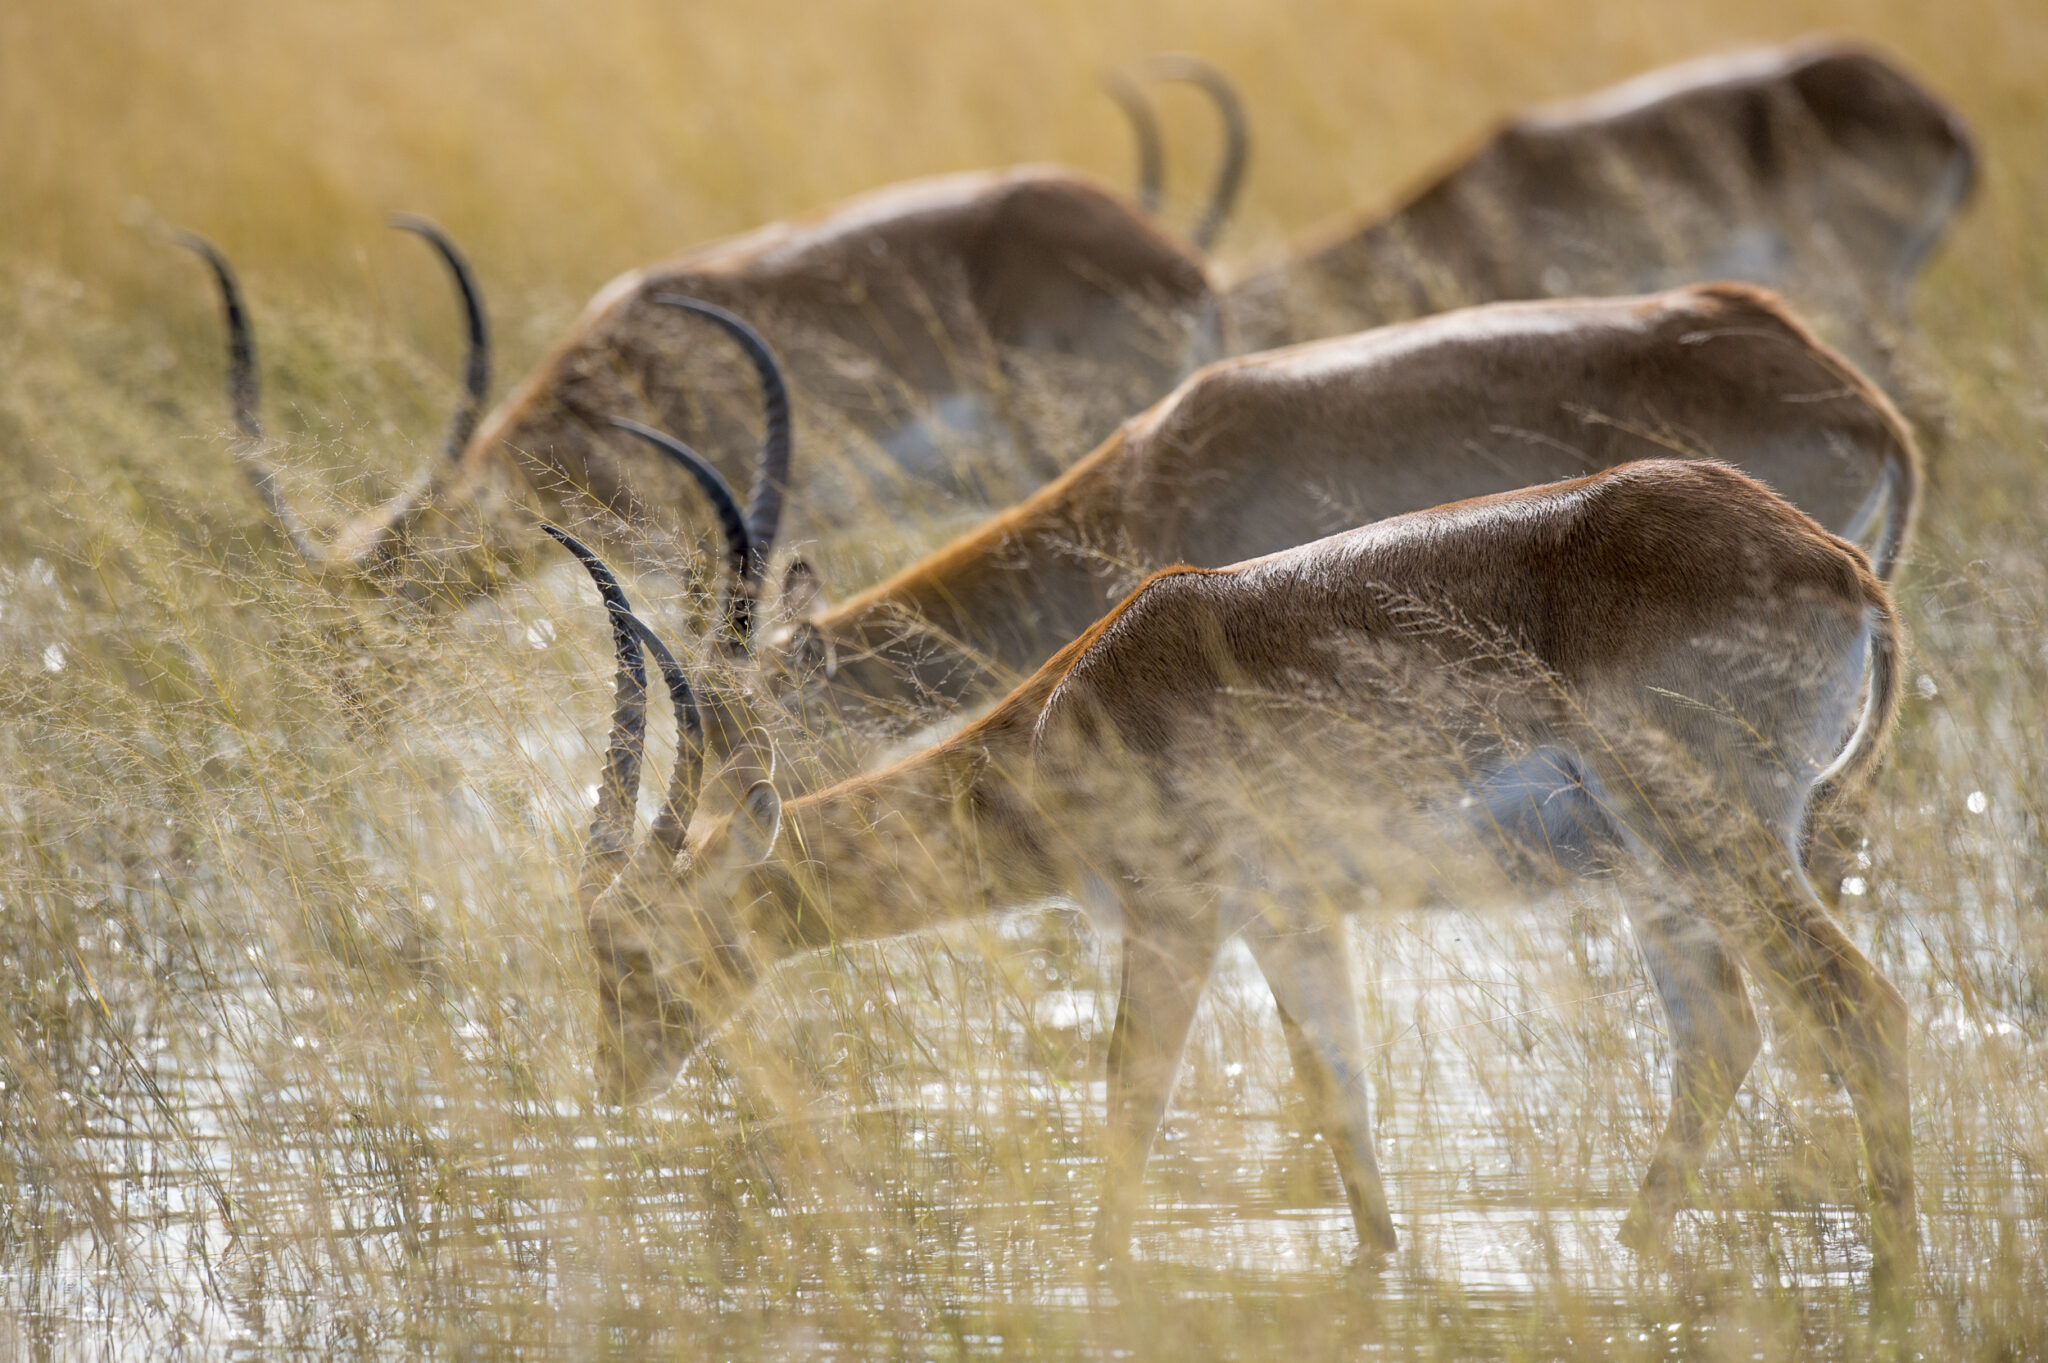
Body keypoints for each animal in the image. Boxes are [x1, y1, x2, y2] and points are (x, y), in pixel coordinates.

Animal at [540, 456, 1900, 1277]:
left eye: (634, 945)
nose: (611, 1078)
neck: (1068, 720)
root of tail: (1833, 556)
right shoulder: (1293, 923)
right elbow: (1343, 1114)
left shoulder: (1176, 921)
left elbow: (1128, 1106)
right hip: (1658, 880)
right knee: (1724, 1031)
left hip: (1712, 845)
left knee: (1858, 1010)